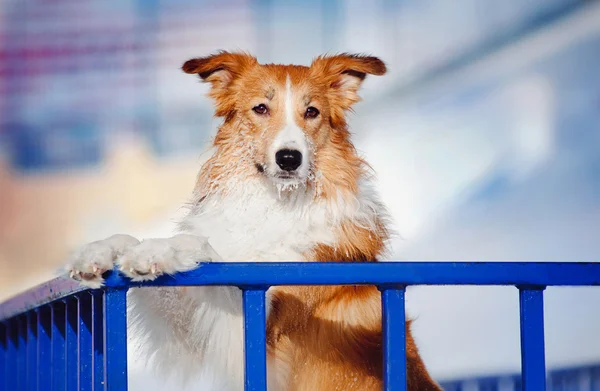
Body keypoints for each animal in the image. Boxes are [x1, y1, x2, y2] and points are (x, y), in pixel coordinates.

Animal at [67, 52, 440, 391]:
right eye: (260, 108)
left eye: (312, 112)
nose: (289, 158)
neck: (274, 203)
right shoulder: (189, 323)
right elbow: (134, 243)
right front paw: (100, 253)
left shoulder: (261, 326)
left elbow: (204, 248)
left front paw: (158, 251)